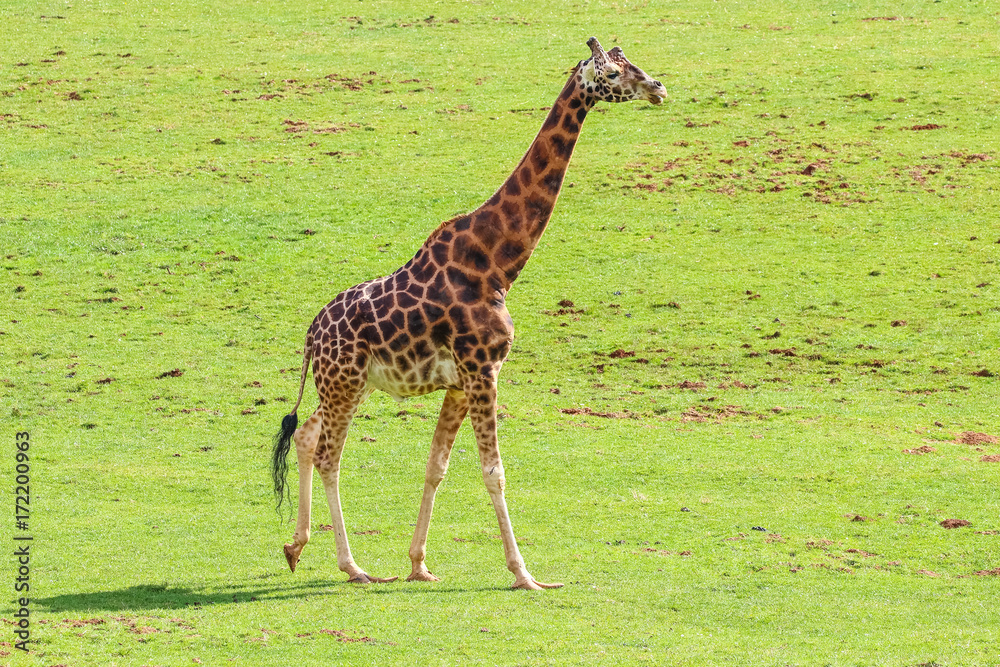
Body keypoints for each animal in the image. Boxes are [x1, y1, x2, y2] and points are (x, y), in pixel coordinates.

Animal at [271, 37, 666, 590]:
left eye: (631, 62)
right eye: (611, 72)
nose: (657, 88)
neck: (497, 263)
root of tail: (309, 337)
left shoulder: (460, 382)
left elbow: (436, 466)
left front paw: (419, 564)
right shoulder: (483, 370)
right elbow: (493, 472)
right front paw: (525, 575)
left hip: (350, 384)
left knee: (307, 435)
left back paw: (296, 547)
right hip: (345, 381)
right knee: (330, 454)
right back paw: (353, 566)